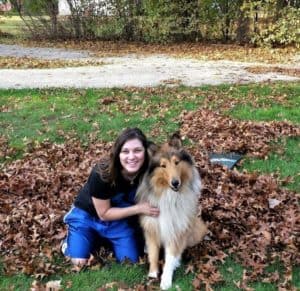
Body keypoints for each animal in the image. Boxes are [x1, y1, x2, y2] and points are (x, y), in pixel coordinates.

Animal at [135, 133, 206, 290]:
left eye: (176, 162)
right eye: (163, 165)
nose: (175, 183)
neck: (169, 195)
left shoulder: (176, 229)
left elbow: (171, 256)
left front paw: (166, 280)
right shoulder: (152, 225)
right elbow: (154, 253)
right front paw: (153, 273)